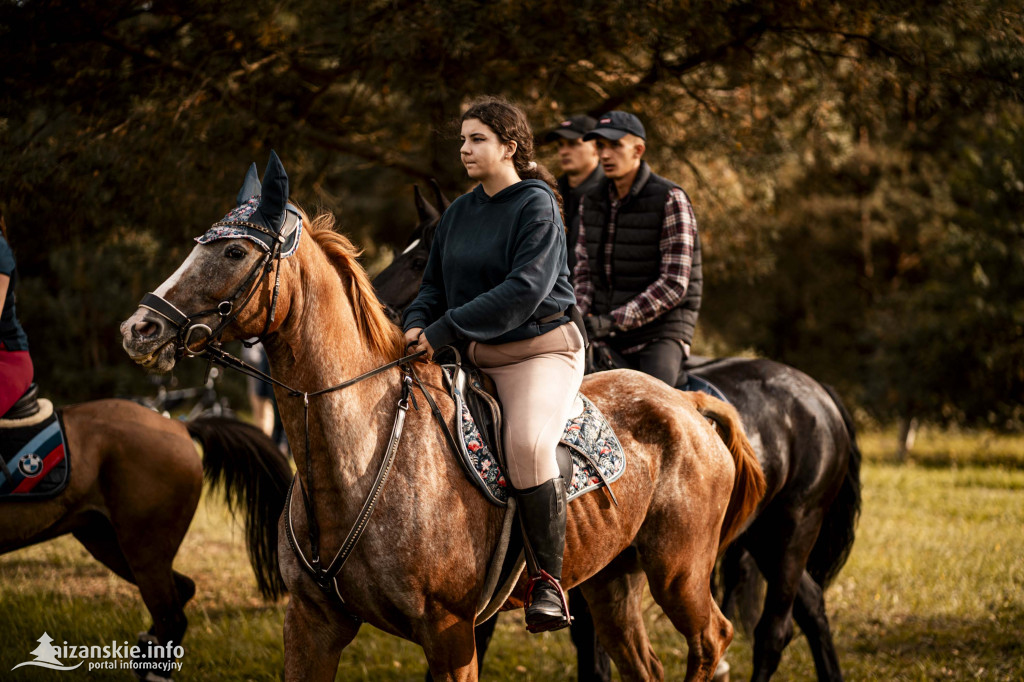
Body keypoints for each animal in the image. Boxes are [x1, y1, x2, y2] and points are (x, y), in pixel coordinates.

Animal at [117, 153, 761, 679]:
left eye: (233, 251)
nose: (139, 329)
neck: (358, 457)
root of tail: (686, 404)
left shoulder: (451, 635)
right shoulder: (310, 626)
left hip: (679, 572)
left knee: (712, 640)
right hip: (611, 583)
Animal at [372, 186, 860, 679]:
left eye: (420, 261)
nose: (382, 308)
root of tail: (818, 393)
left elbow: (587, 651)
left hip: (789, 531)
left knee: (772, 629)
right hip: (764, 538)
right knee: (811, 609)